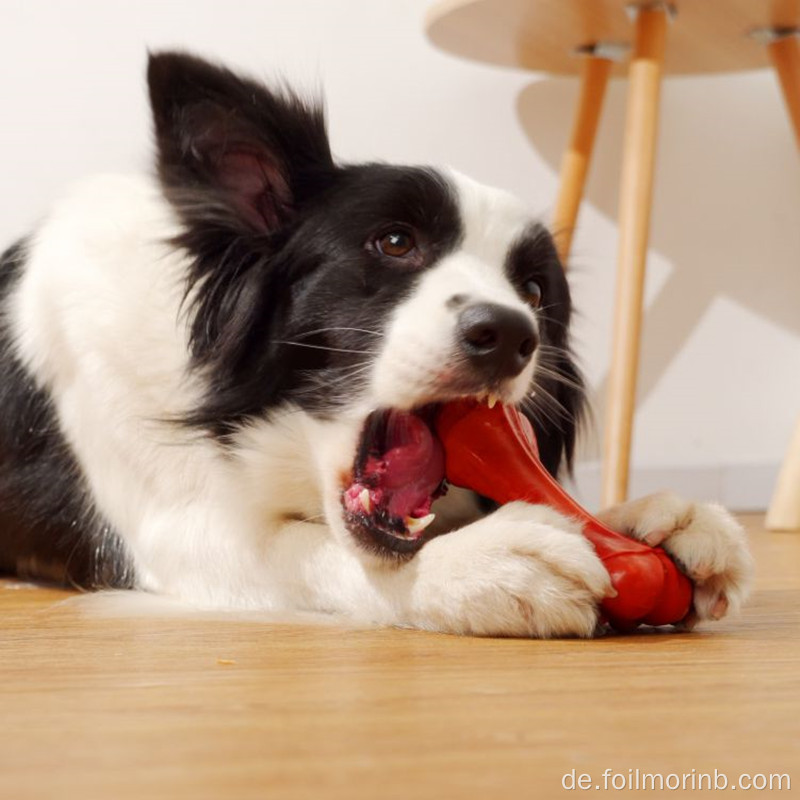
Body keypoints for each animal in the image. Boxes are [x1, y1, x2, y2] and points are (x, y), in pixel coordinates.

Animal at [0, 53, 752, 636]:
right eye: (394, 241)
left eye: (536, 290)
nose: (510, 333)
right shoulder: (172, 528)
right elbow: (304, 549)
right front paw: (481, 565)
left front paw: (654, 518)